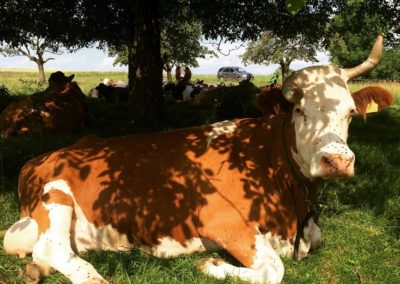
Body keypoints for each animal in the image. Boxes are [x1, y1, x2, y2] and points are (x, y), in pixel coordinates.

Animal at [3, 34, 394, 282]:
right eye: (299, 111)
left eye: (349, 112)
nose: (338, 161)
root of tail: (37, 159)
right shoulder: (223, 220)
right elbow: (273, 270)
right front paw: (211, 265)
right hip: (55, 193)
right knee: (51, 247)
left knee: (36, 248)